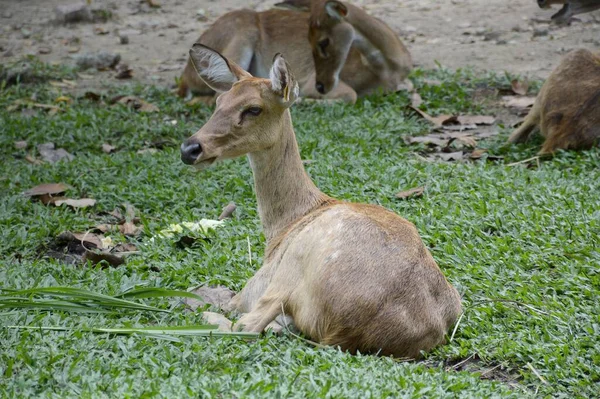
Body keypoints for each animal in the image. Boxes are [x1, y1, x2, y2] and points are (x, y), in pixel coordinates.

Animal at [178, 43, 460, 360]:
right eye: (219, 100)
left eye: (253, 108)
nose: (190, 148)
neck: (286, 223)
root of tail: (351, 329)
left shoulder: (259, 282)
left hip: (289, 270)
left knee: (247, 325)